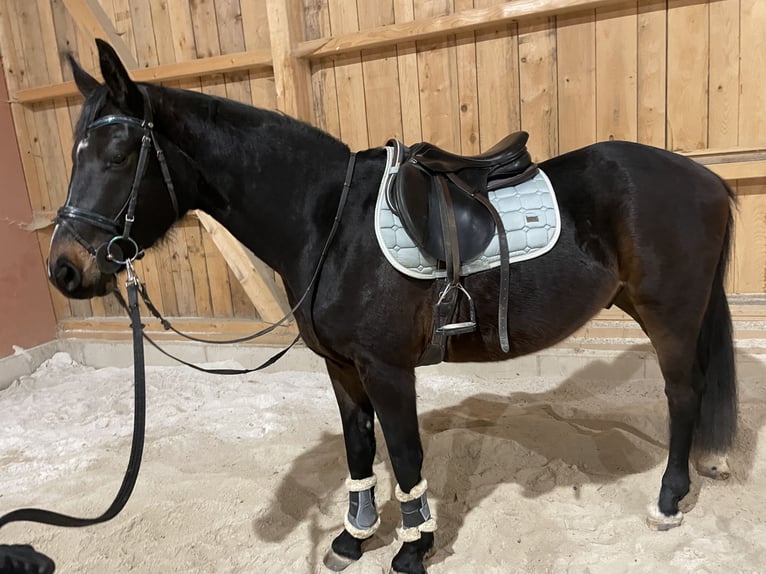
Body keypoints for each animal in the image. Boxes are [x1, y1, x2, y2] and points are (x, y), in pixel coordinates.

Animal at [46, 38, 736, 572]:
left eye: (118, 154)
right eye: (73, 152)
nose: (65, 269)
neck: (327, 222)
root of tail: (706, 180)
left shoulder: (387, 368)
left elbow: (404, 453)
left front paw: (413, 546)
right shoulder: (342, 368)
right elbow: (359, 448)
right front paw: (353, 538)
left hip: (670, 316)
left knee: (683, 395)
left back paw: (669, 501)